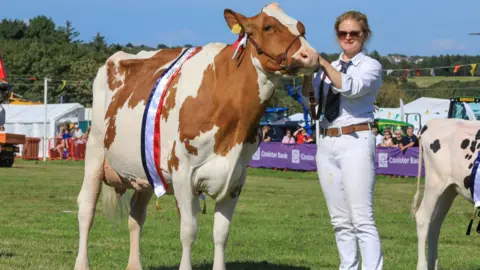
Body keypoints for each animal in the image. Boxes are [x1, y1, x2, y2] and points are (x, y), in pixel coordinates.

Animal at [75, 2, 320, 270]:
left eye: (302, 28)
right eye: (268, 27)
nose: (311, 56)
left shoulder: (236, 179)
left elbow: (221, 234)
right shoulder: (183, 173)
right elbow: (189, 231)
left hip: (144, 169)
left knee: (136, 216)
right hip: (95, 150)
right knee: (86, 209)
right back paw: (81, 263)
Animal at [410, 118, 480, 270]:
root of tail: (432, 122)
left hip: (449, 190)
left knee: (435, 222)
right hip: (434, 183)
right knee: (423, 218)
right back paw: (422, 266)